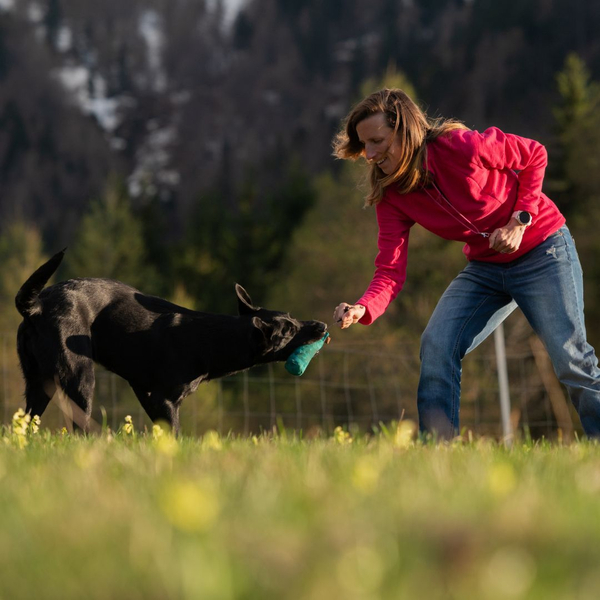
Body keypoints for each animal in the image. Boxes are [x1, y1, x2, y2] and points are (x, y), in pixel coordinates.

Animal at [16, 251, 328, 434]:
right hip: (80, 379)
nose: (322, 325)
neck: (215, 337)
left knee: (26, 422)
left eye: (292, 317)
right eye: (288, 330)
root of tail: (36, 307)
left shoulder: (146, 393)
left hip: (38, 384)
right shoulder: (165, 400)